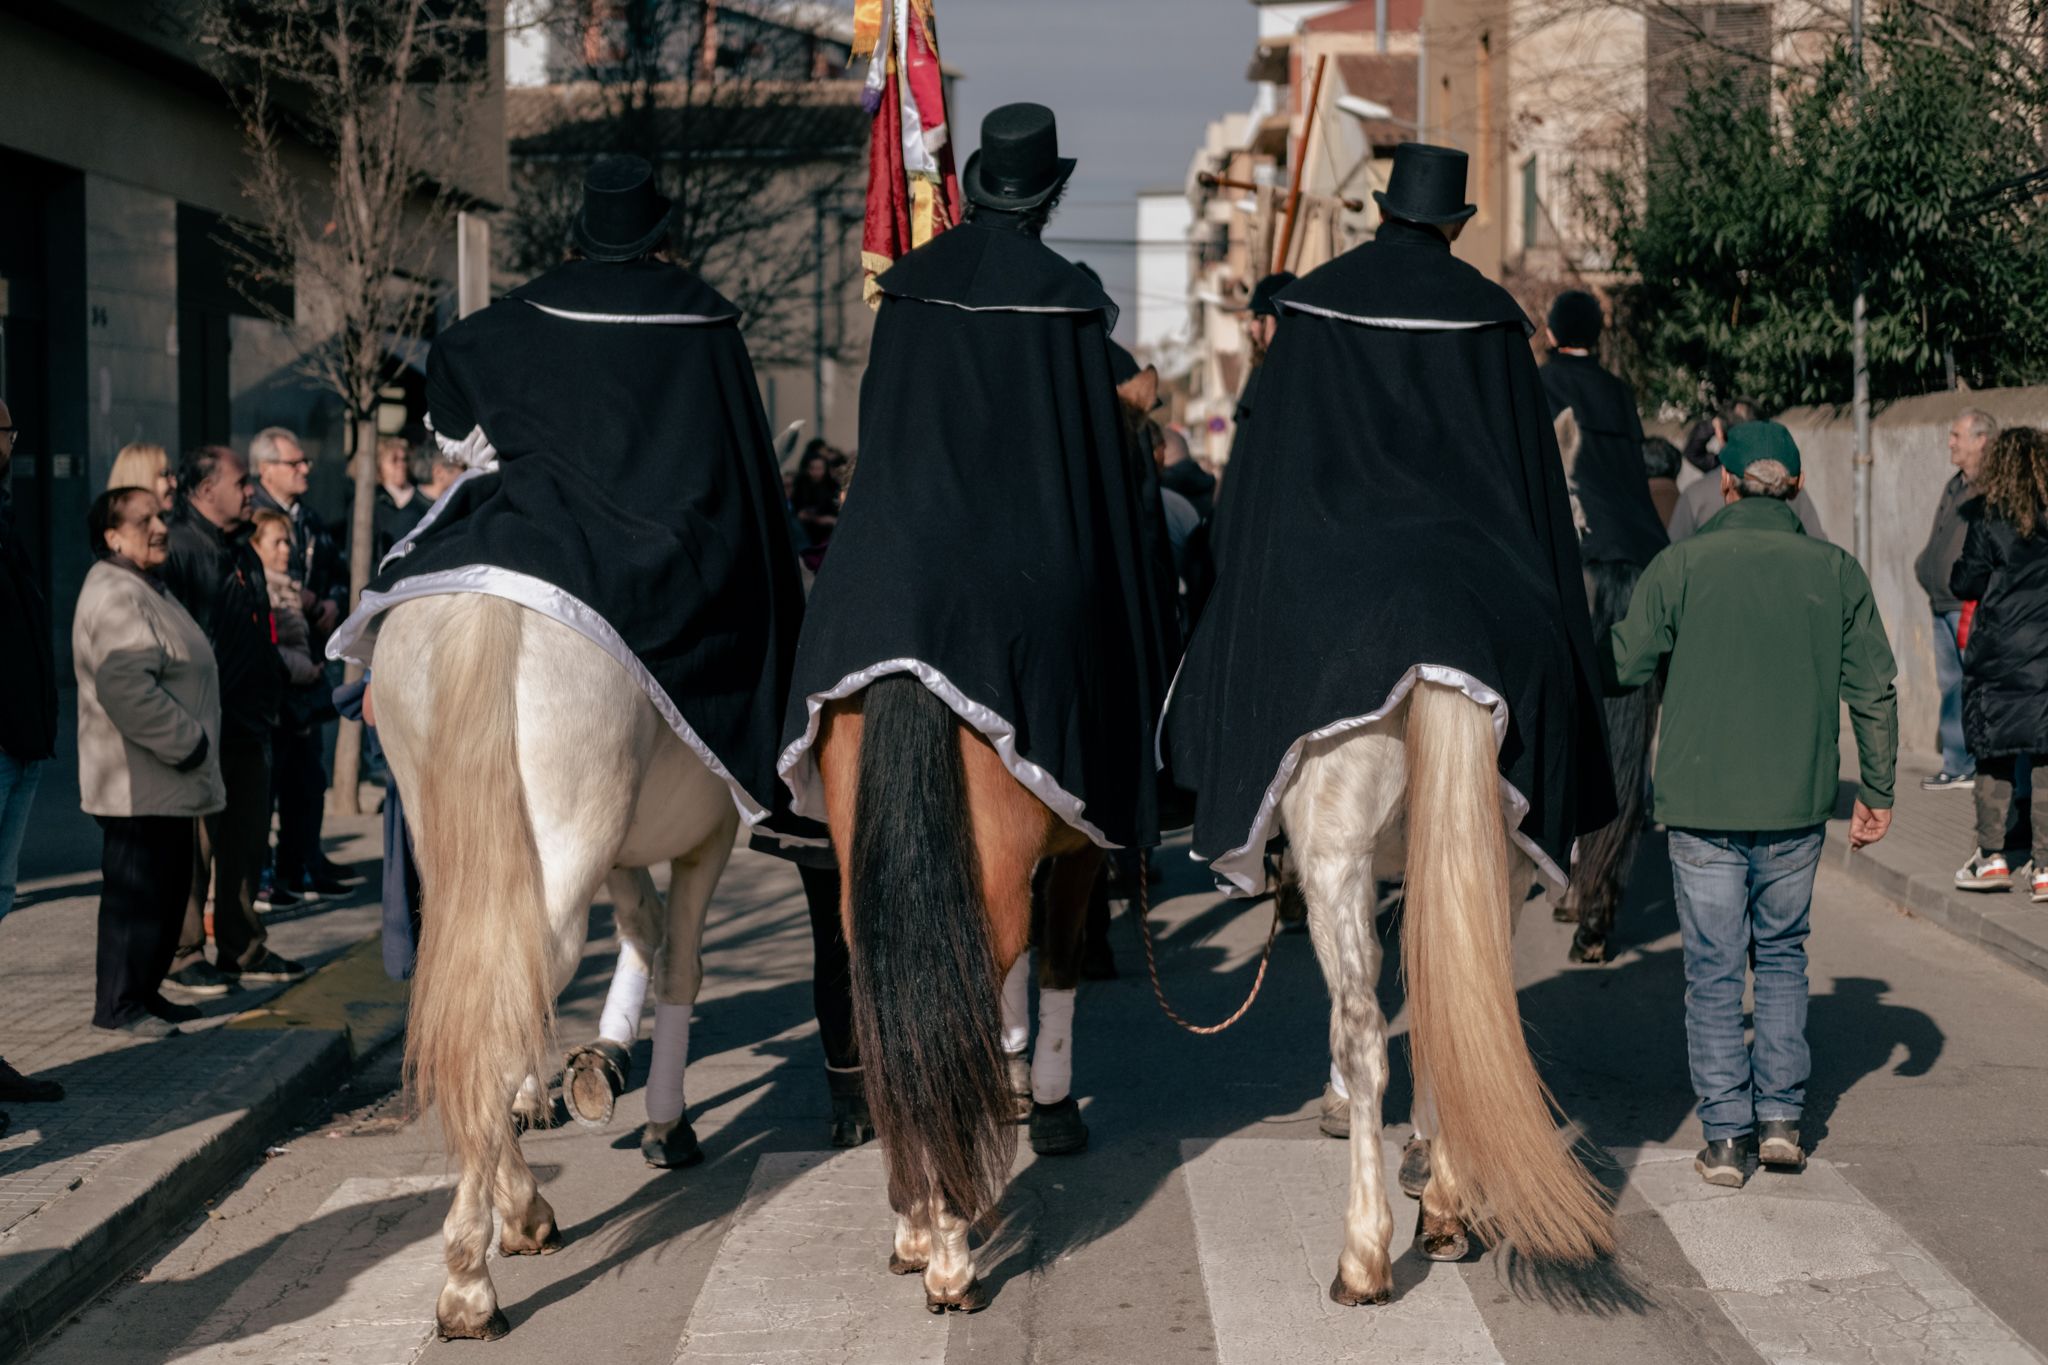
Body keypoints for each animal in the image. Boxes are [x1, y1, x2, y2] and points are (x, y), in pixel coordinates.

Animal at [372, 593, 741, 1342]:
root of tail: (483, 600)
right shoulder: (710, 833)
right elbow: (679, 961)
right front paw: (665, 1122)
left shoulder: (625, 851)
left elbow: (642, 928)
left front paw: (604, 1063)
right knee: (507, 1012)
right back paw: (471, 1283)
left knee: (486, 1016)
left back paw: (517, 1212)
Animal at [1277, 683, 1613, 1301]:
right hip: (1503, 856)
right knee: (1459, 1016)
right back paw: (1442, 1210)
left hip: (1334, 847)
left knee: (1362, 1032)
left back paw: (1363, 1258)